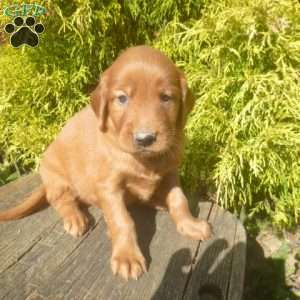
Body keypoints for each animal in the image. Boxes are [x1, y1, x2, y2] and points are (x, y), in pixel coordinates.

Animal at [0, 45, 212, 280]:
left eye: (166, 97)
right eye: (122, 98)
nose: (145, 138)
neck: (143, 159)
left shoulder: (171, 172)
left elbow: (179, 200)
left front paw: (190, 224)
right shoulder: (108, 186)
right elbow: (122, 220)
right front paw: (127, 257)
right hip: (56, 177)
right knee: (61, 200)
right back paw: (75, 218)